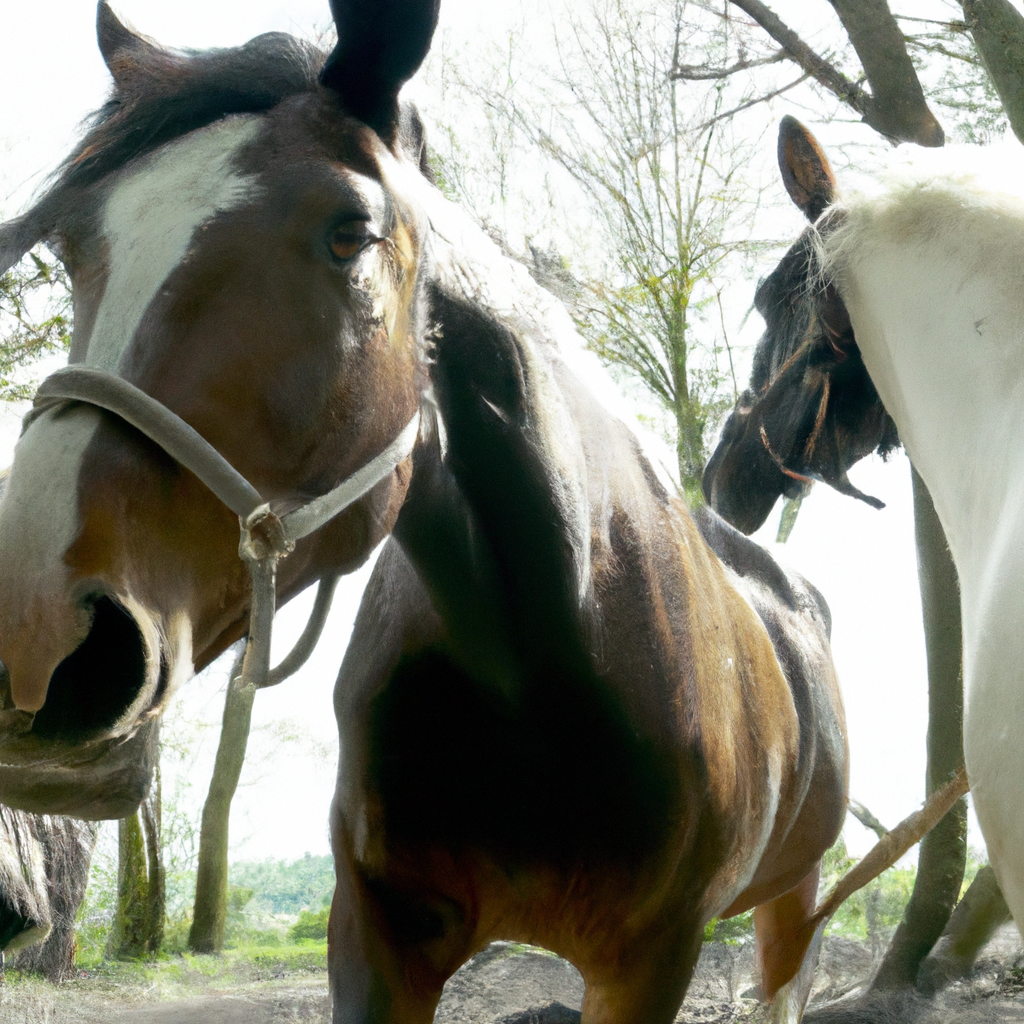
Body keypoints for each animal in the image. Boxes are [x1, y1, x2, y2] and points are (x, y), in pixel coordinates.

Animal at [0, 4, 843, 1019]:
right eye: (72, 247)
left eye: (350, 232)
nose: (35, 636)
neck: (548, 667)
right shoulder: (377, 936)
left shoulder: (652, 959)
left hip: (795, 905)